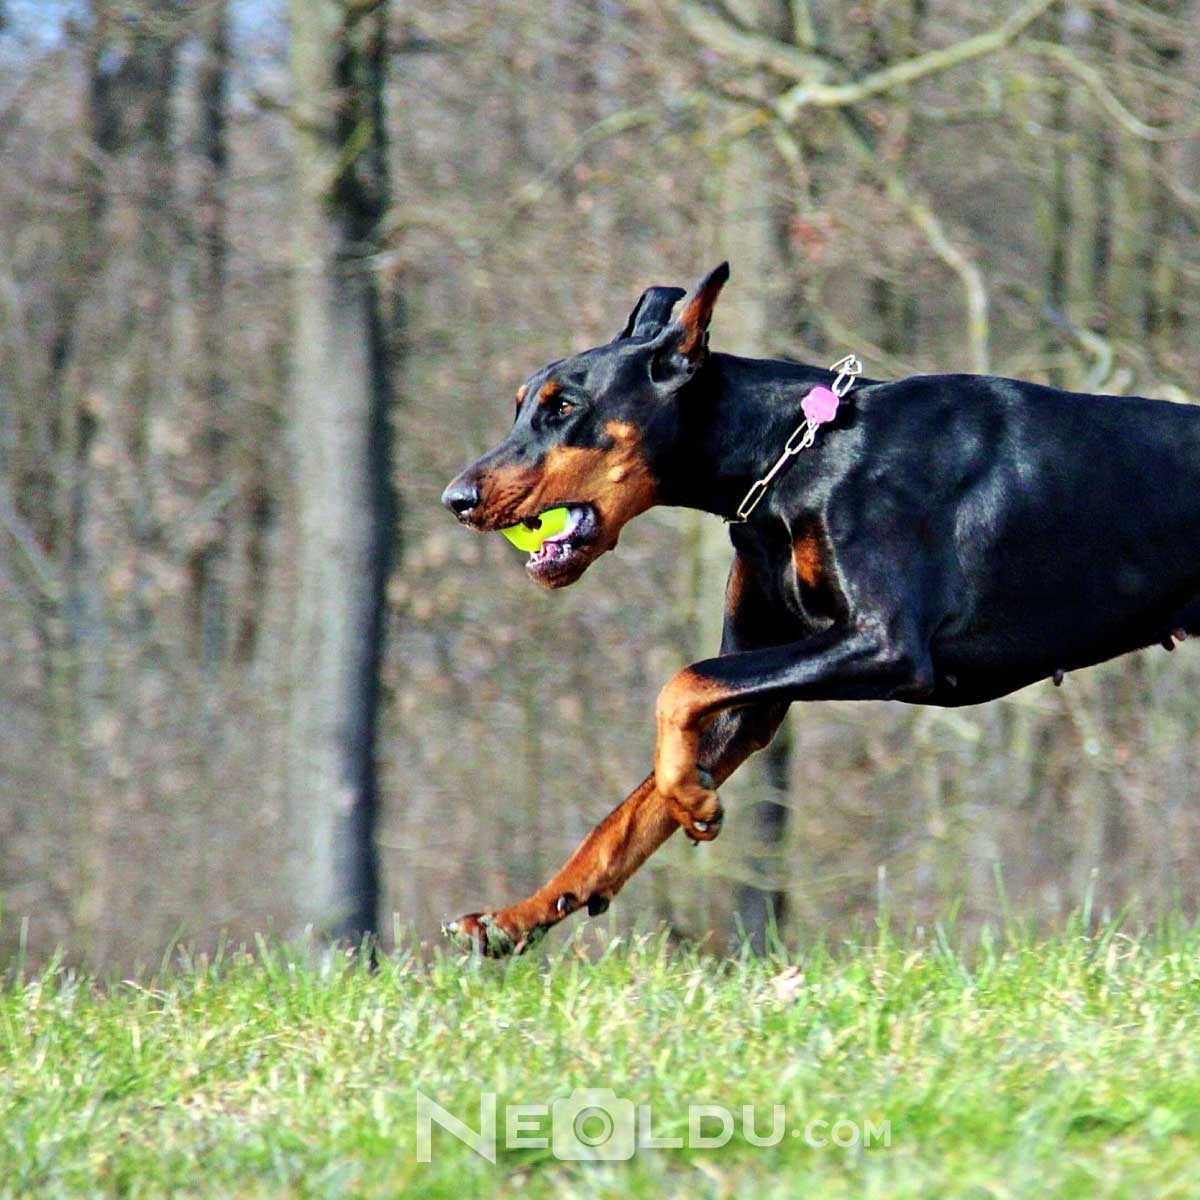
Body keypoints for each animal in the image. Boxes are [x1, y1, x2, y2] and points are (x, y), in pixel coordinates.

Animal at [441, 262, 1200, 955]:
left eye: (564, 407)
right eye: (520, 404)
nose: (456, 499)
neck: (796, 457)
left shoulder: (885, 645)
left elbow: (680, 683)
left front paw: (693, 796)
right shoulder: (756, 679)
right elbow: (629, 810)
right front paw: (519, 916)